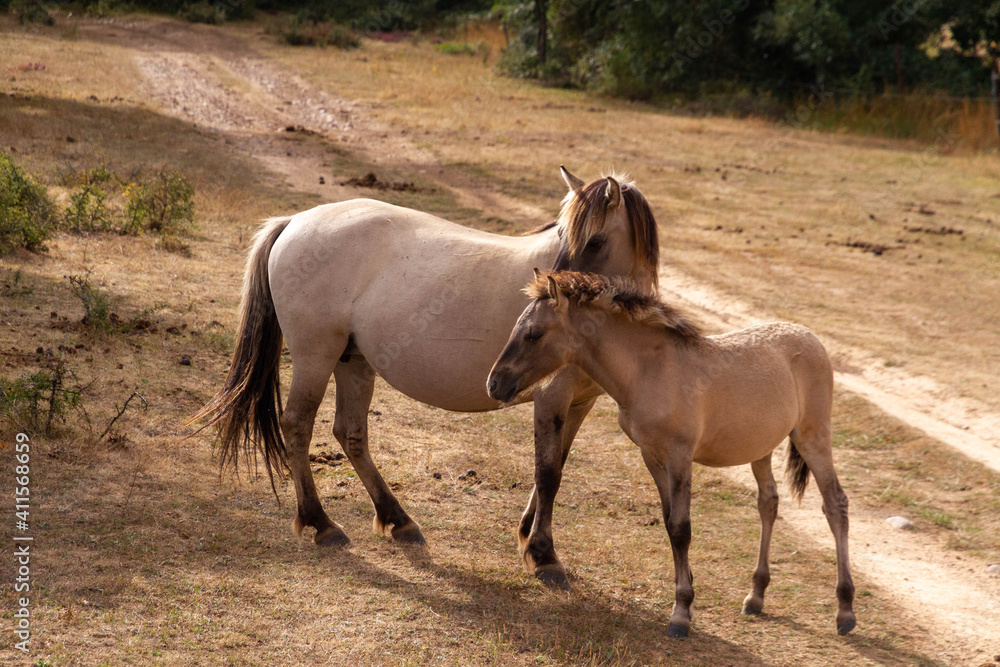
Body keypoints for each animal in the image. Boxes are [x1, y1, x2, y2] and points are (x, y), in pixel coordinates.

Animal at [191, 168, 660, 589]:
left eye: (595, 241)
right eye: (561, 235)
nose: (543, 298)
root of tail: (296, 220)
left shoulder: (579, 403)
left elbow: (554, 467)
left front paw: (528, 536)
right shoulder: (551, 399)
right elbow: (547, 474)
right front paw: (544, 556)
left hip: (353, 361)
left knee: (350, 433)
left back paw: (398, 520)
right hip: (315, 357)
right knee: (298, 426)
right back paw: (321, 524)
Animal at [487, 270, 856, 638]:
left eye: (533, 334)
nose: (494, 384)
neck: (650, 371)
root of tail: (810, 337)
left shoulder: (680, 456)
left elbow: (681, 527)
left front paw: (680, 613)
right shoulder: (652, 455)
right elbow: (669, 523)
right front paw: (687, 597)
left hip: (813, 437)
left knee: (835, 504)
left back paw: (845, 610)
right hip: (760, 447)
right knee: (769, 502)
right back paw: (756, 596)